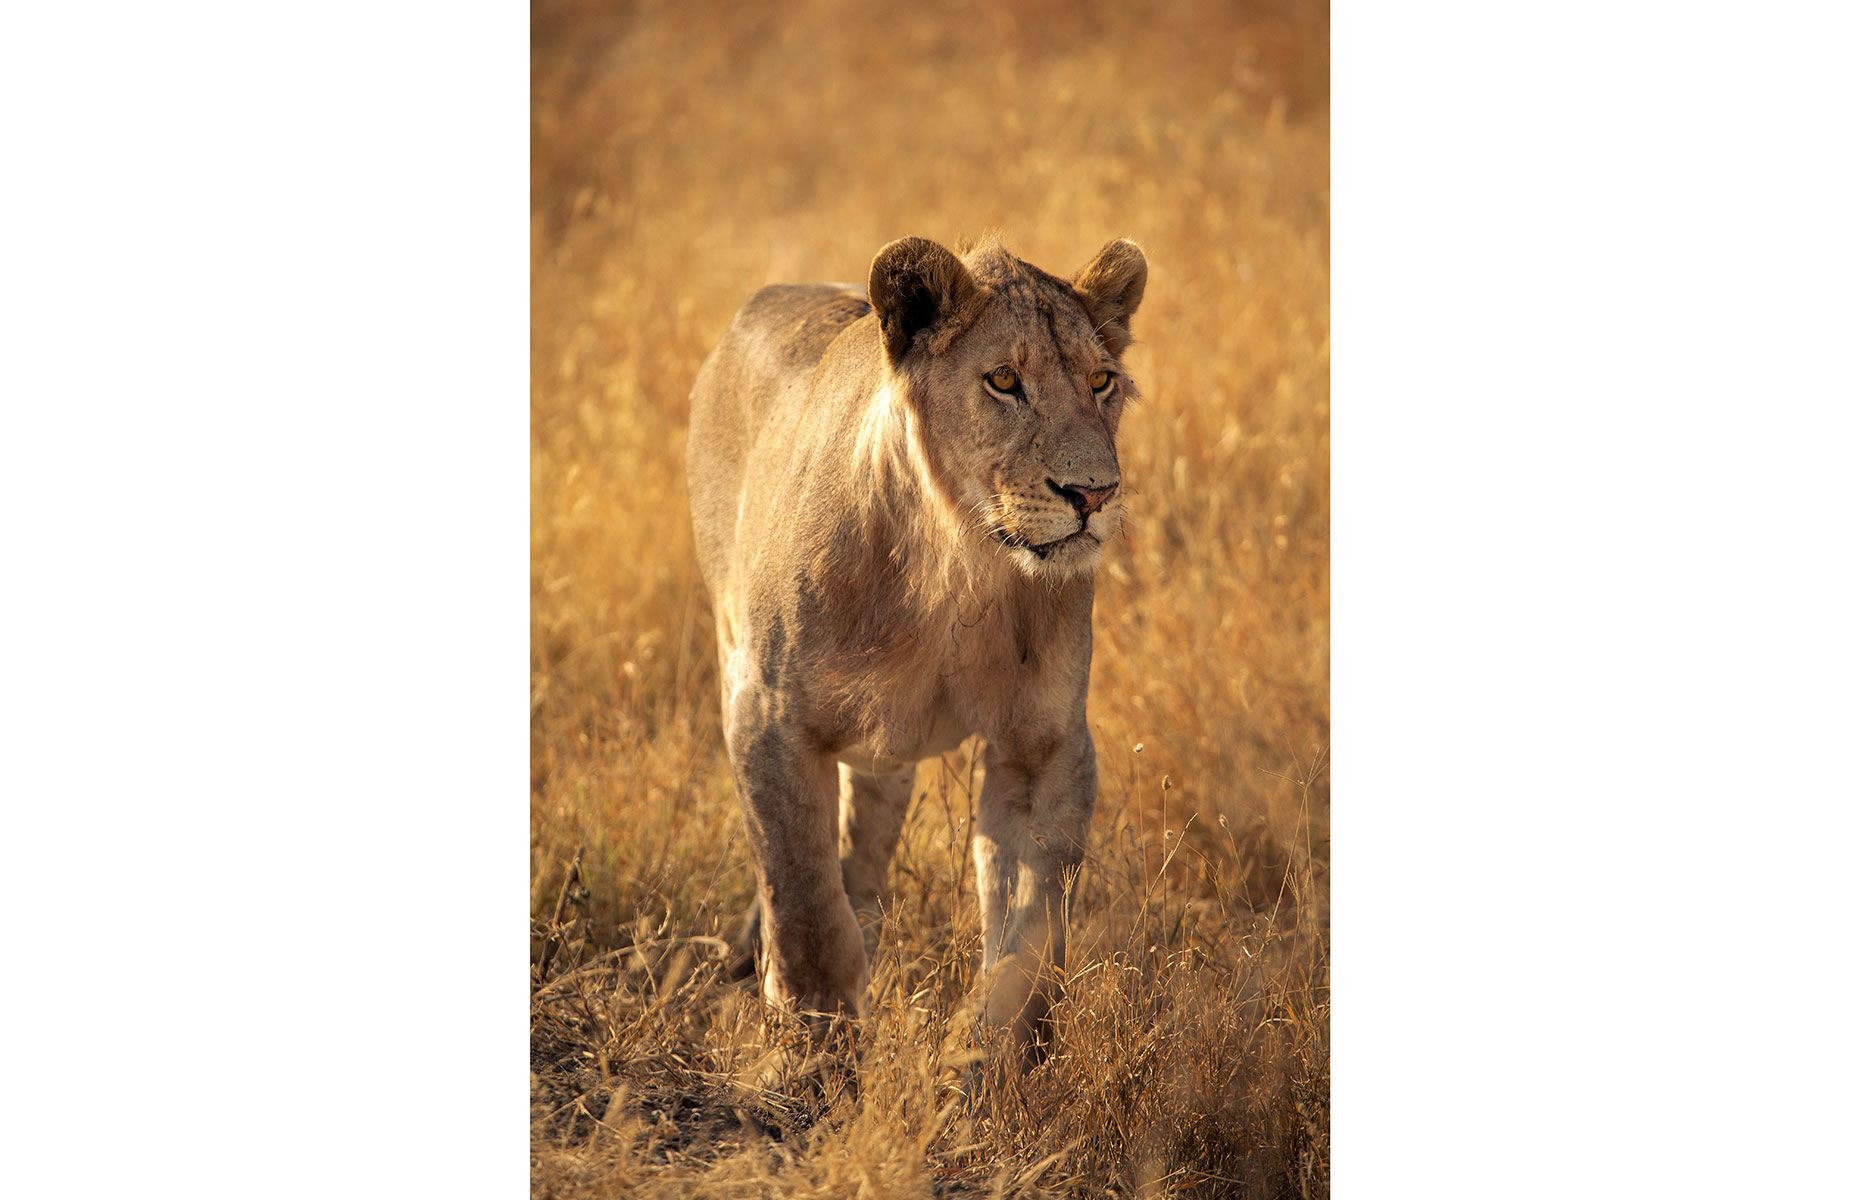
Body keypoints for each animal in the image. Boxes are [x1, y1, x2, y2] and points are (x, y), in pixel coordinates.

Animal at [688, 234, 1145, 1064]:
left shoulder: (1046, 744)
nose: (1092, 494)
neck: (955, 564)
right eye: (1004, 381)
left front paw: (991, 1060)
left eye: (1102, 382)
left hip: (882, 753)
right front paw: (814, 1050)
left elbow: (1030, 924)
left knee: (864, 848)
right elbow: (803, 901)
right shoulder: (766, 719)